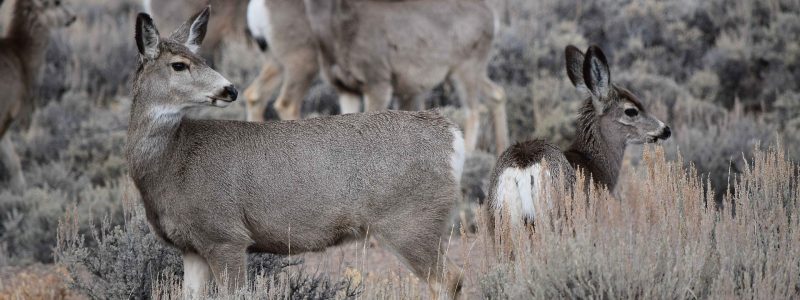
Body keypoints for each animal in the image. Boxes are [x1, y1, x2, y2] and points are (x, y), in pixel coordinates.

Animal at [129, 7, 466, 298]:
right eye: (179, 64)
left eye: (199, 58)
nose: (230, 89)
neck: (172, 161)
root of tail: (452, 136)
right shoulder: (191, 246)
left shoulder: (226, 234)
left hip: (411, 221)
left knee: (450, 278)